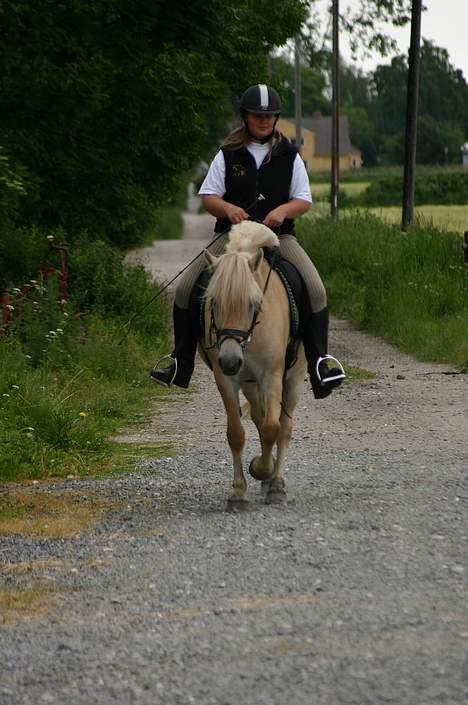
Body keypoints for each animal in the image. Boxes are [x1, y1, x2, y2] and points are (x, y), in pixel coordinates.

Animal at [201, 220, 308, 506]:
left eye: (253, 303)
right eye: (214, 302)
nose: (230, 359)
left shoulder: (272, 374)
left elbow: (273, 428)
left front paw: (263, 472)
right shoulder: (226, 379)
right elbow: (237, 433)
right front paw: (239, 491)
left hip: (294, 378)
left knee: (284, 427)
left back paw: (276, 483)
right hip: (249, 383)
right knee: (259, 417)